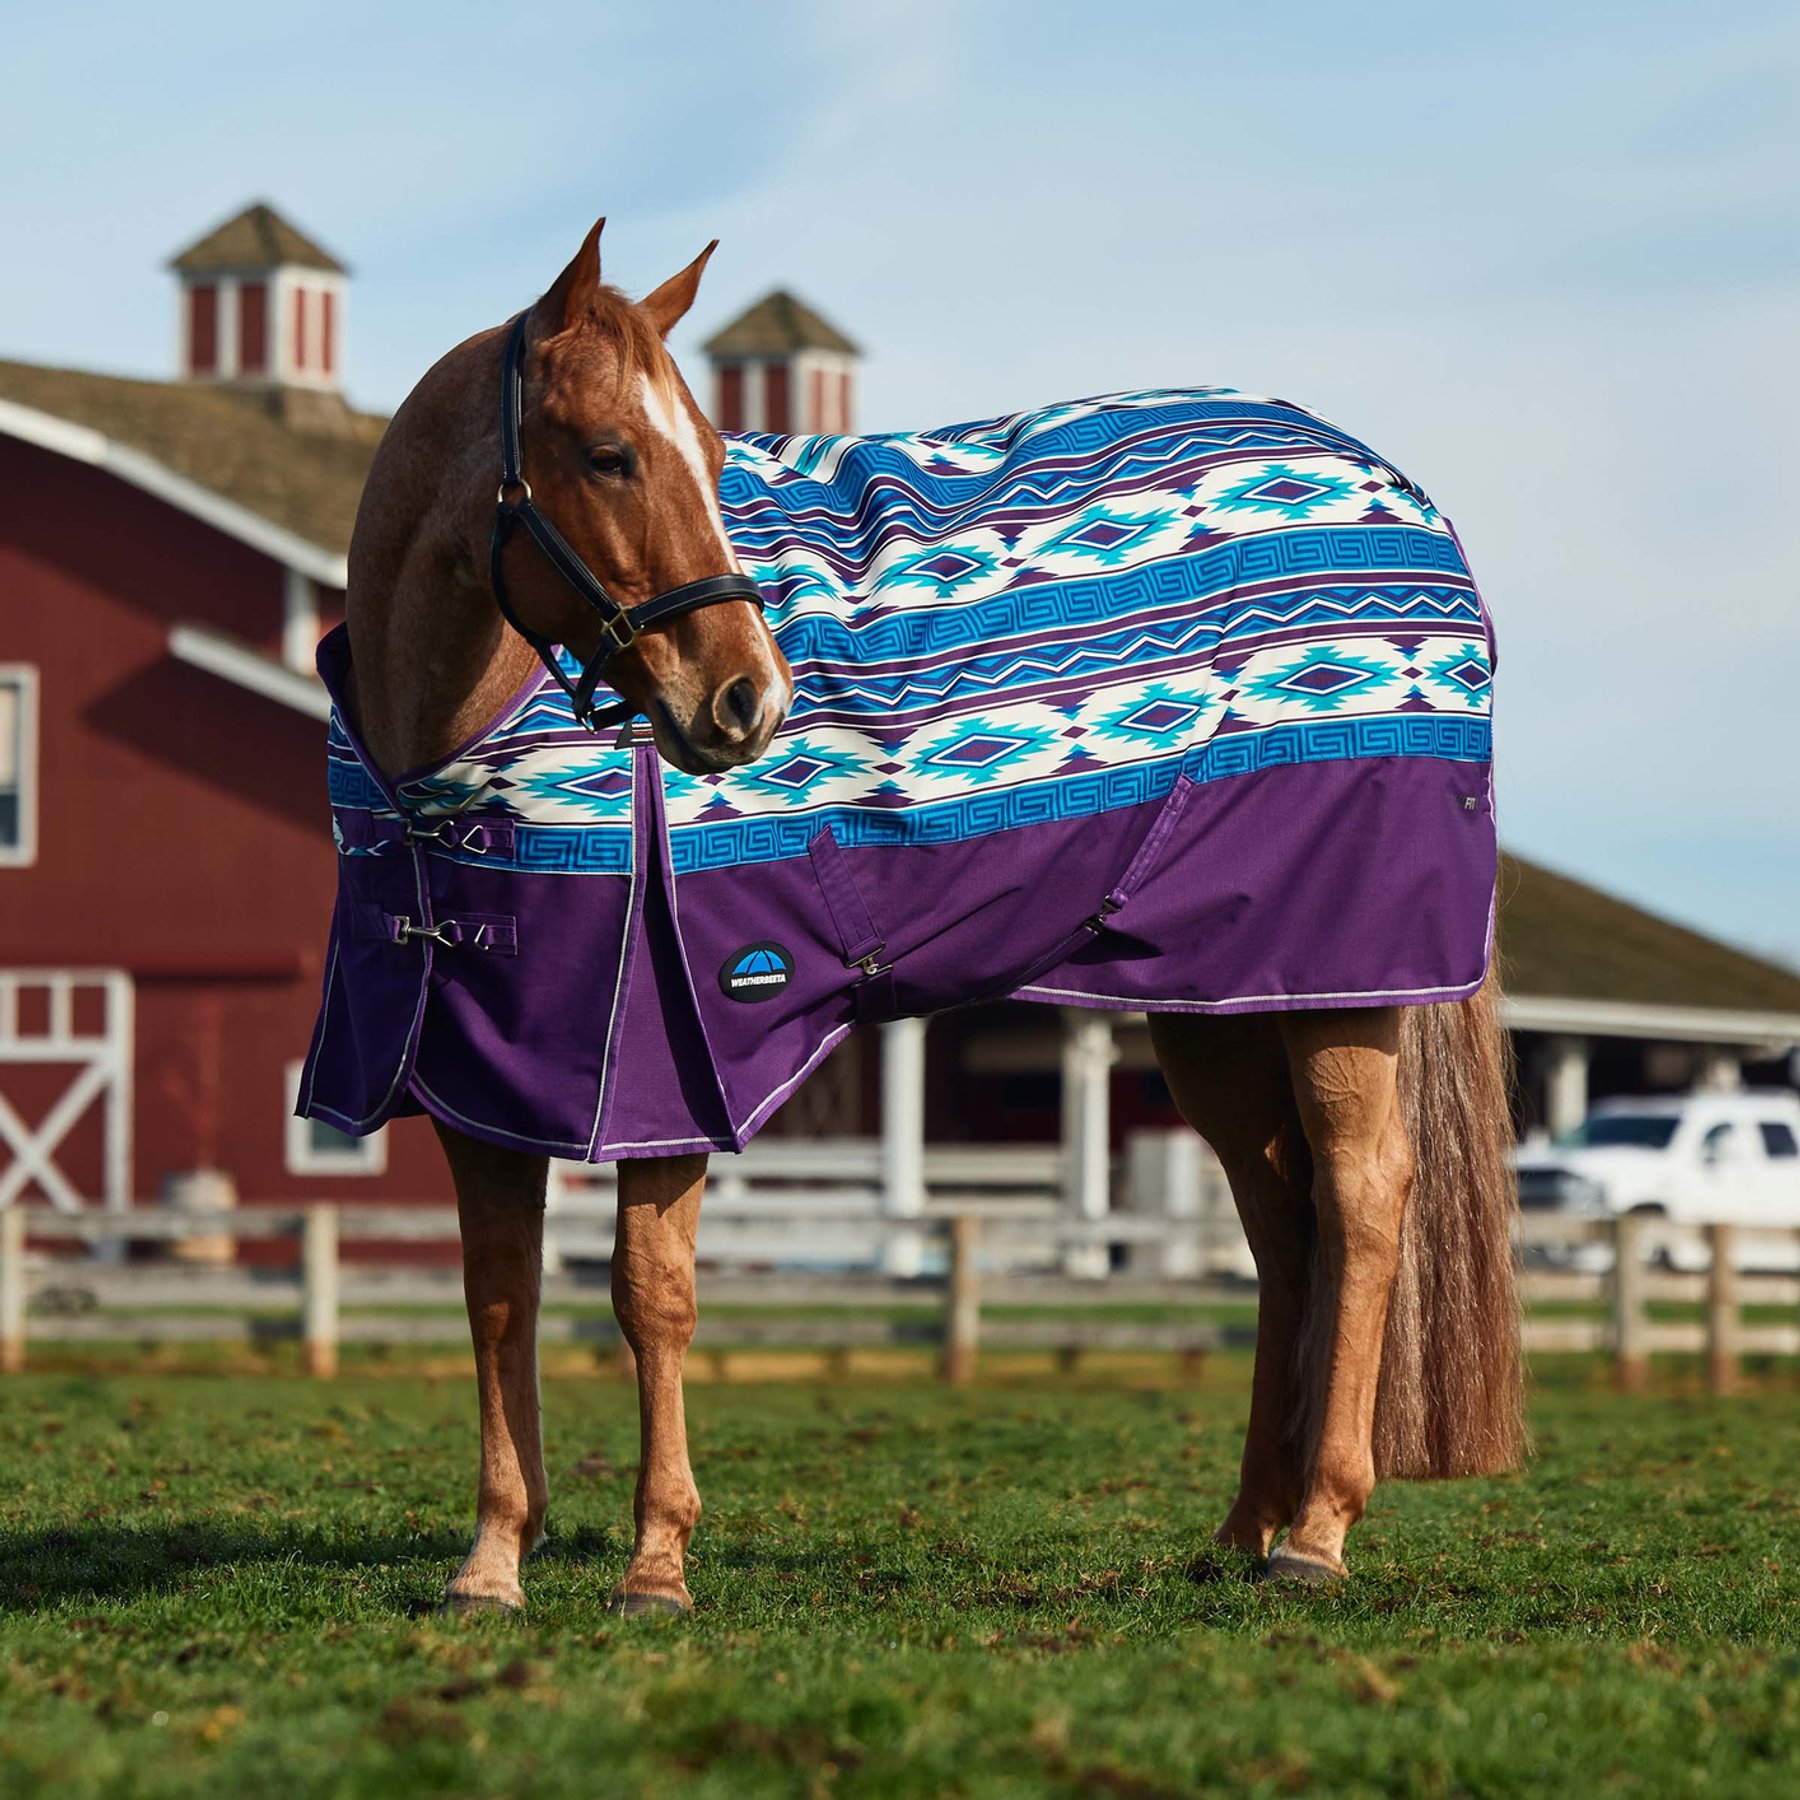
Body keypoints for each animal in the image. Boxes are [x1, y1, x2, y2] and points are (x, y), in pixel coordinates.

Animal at [307, 218, 1522, 1615]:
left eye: (712, 455)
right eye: (610, 452)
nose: (749, 700)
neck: (442, 750)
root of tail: (1411, 507)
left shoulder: (669, 1065)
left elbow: (650, 1296)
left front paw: (657, 1561)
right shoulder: (477, 1076)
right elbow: (500, 1297)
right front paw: (495, 1559)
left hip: (1346, 995)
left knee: (1365, 1202)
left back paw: (1318, 1532)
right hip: (1216, 1006)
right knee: (1285, 1225)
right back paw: (1245, 1527)